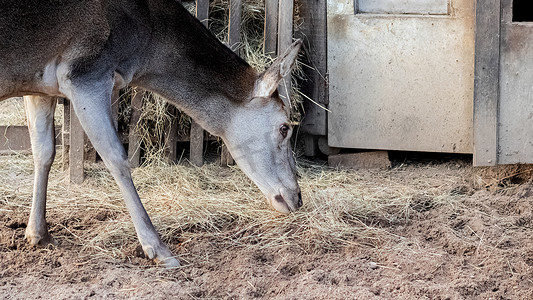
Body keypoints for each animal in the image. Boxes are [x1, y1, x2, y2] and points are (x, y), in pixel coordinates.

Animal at [0, 0, 304, 268]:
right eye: (285, 127)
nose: (297, 198)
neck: (145, 41)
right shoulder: (85, 73)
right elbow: (116, 157)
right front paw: (159, 249)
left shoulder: (39, 85)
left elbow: (43, 152)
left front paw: (38, 234)